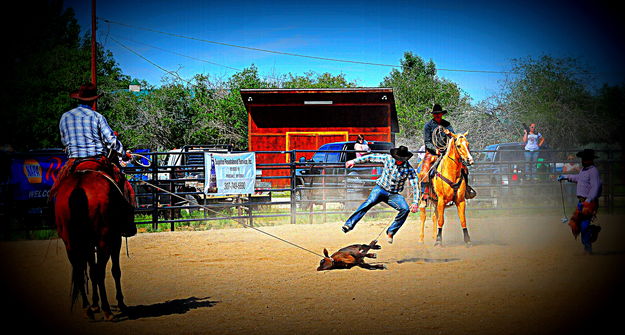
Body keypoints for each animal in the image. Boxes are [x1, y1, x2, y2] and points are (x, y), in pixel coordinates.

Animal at [52, 159, 133, 322]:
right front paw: (121, 303)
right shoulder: (115, 240)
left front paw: (95, 304)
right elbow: (115, 270)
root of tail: (79, 187)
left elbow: (91, 269)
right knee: (100, 271)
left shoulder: (88, 245)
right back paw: (107, 311)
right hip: (104, 241)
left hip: (71, 243)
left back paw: (88, 309)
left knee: (80, 272)